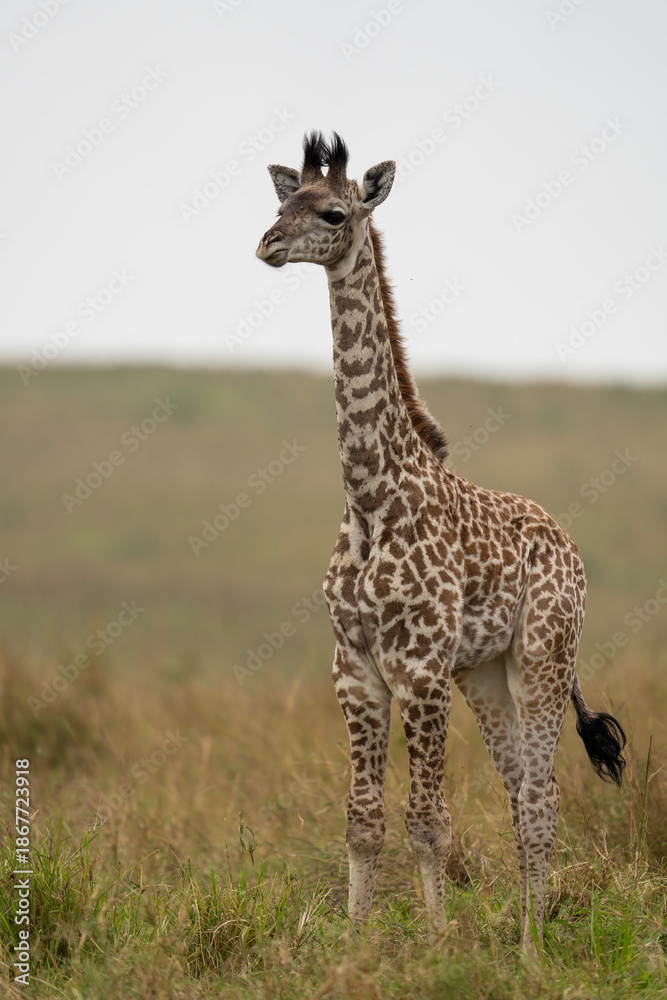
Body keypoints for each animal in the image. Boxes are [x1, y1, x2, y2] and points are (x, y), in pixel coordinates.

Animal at [256, 132, 626, 955]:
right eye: (282, 204)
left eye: (331, 213)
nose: (265, 245)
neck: (370, 496)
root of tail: (567, 543)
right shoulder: (355, 669)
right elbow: (362, 820)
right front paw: (356, 945)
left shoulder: (420, 669)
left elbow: (428, 820)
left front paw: (434, 946)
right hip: (484, 672)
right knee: (520, 790)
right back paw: (526, 928)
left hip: (542, 655)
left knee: (543, 796)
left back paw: (531, 948)